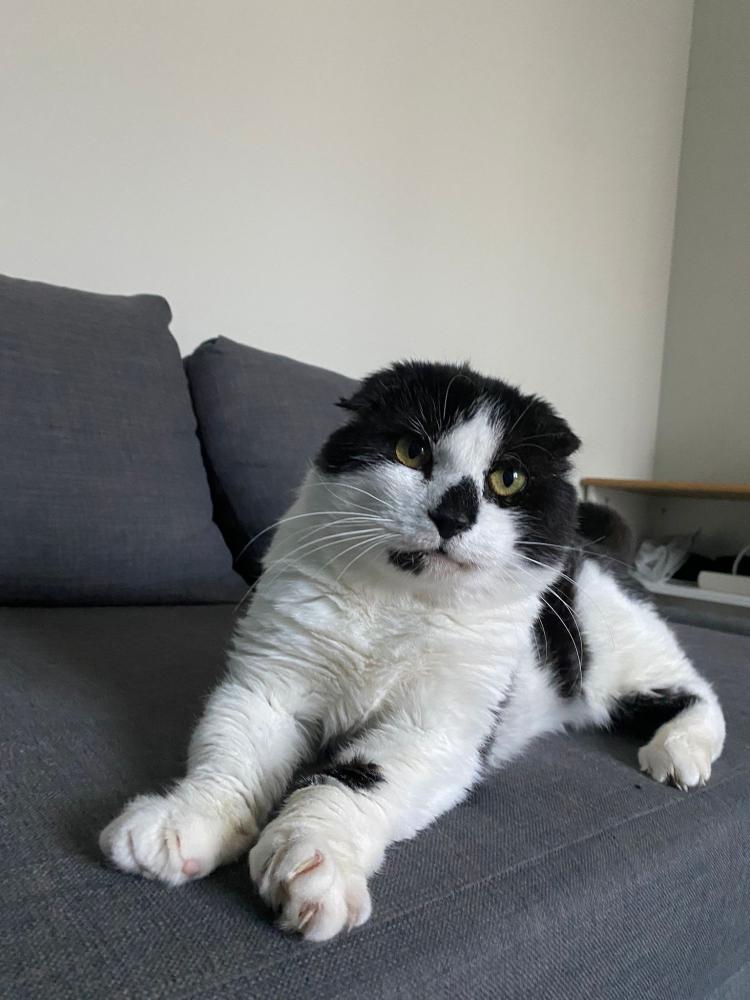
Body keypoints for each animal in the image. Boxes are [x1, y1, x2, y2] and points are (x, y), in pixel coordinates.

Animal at [100, 361, 725, 942]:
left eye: (508, 479)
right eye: (410, 450)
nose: (452, 515)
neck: (397, 605)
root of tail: (597, 542)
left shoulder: (438, 730)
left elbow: (353, 779)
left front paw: (314, 862)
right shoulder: (269, 686)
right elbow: (234, 759)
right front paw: (182, 822)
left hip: (618, 656)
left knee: (698, 692)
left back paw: (678, 756)